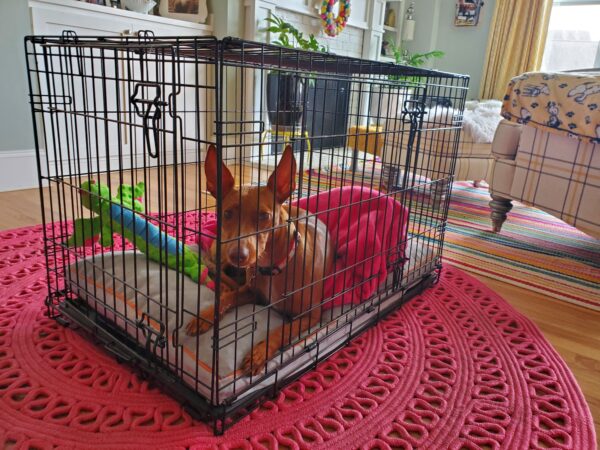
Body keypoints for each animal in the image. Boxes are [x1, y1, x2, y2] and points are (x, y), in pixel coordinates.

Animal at [185, 145, 332, 376]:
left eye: (264, 216)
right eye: (227, 213)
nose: (239, 255)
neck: (273, 267)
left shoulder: (312, 315)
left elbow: (283, 330)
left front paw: (259, 353)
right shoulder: (251, 291)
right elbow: (227, 298)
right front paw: (205, 316)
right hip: (223, 251)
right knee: (216, 269)